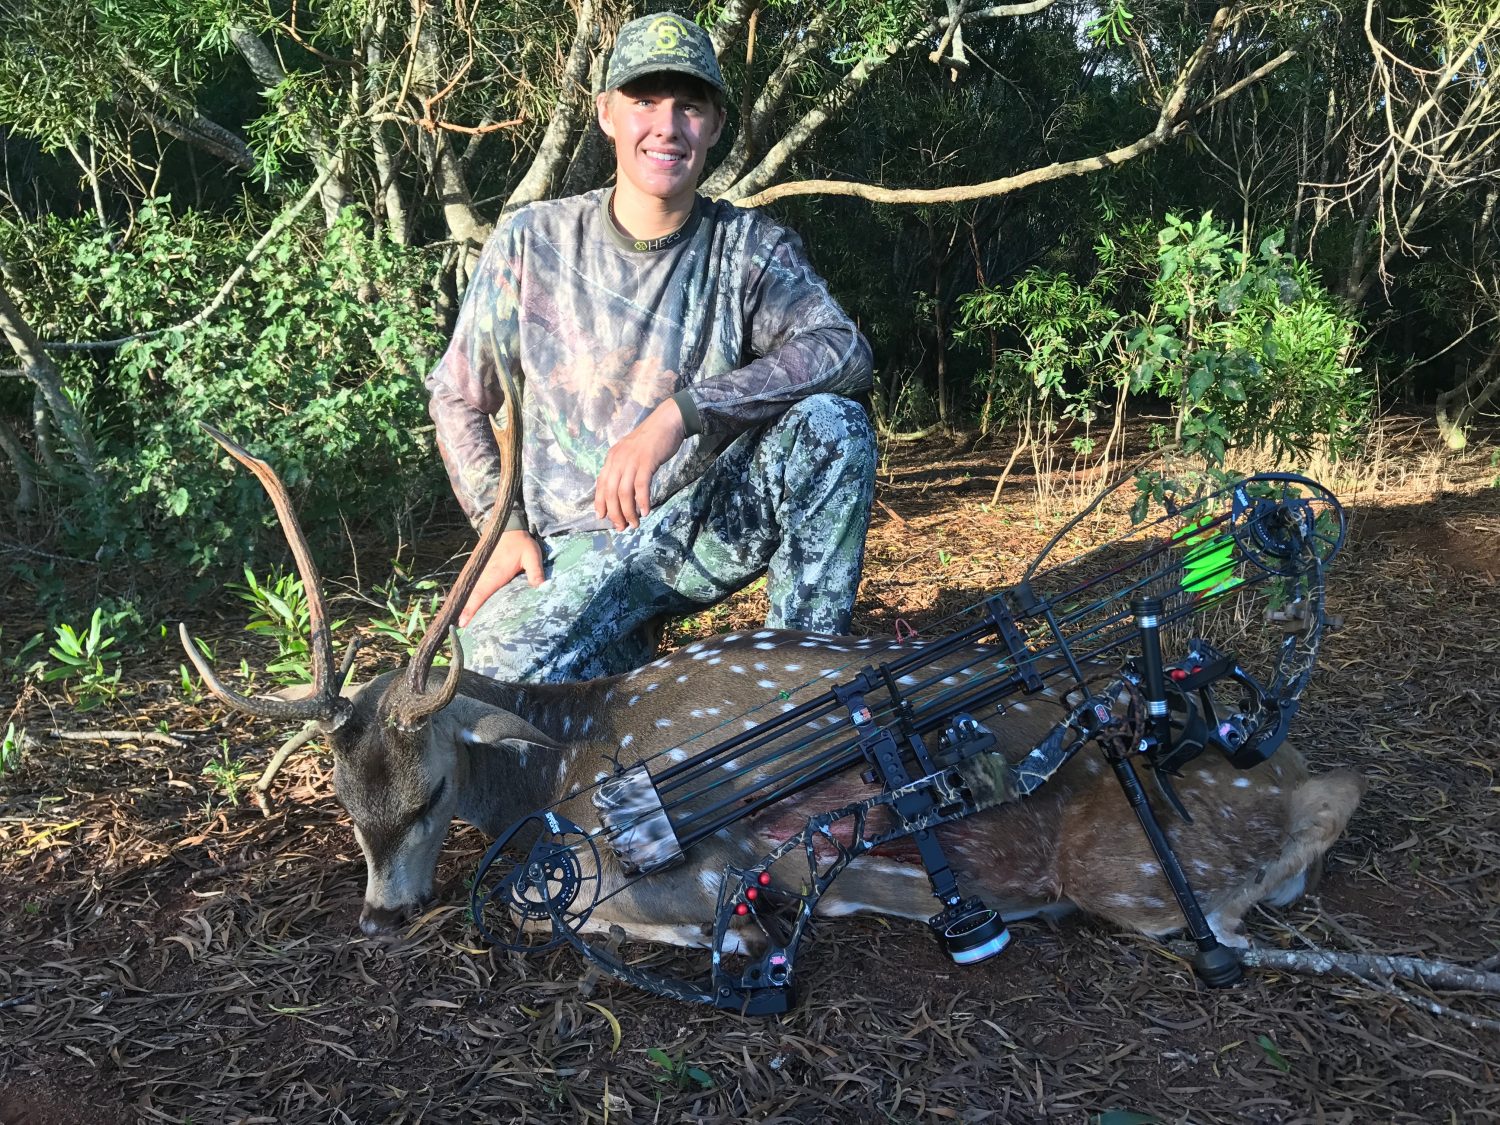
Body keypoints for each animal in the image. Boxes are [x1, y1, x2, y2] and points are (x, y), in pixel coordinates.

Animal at [180, 402, 1364, 956]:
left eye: (427, 793)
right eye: (343, 800)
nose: (380, 917)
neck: (557, 762)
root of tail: (1290, 765)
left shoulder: (680, 863)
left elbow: (537, 901)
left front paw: (752, 927)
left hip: (1131, 878)